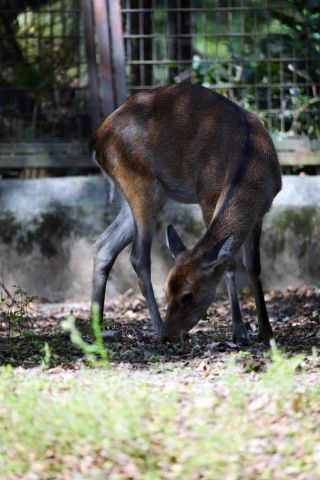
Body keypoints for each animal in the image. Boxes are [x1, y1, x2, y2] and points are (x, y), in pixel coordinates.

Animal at [89, 82, 280, 344]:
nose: (171, 334)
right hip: (139, 185)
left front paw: (266, 331)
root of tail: (96, 142)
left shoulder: (261, 213)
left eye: (187, 295)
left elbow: (254, 267)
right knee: (138, 256)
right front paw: (239, 330)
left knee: (103, 244)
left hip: (145, 194)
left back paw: (97, 325)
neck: (250, 162)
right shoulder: (207, 195)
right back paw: (155, 326)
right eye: (167, 291)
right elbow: (229, 263)